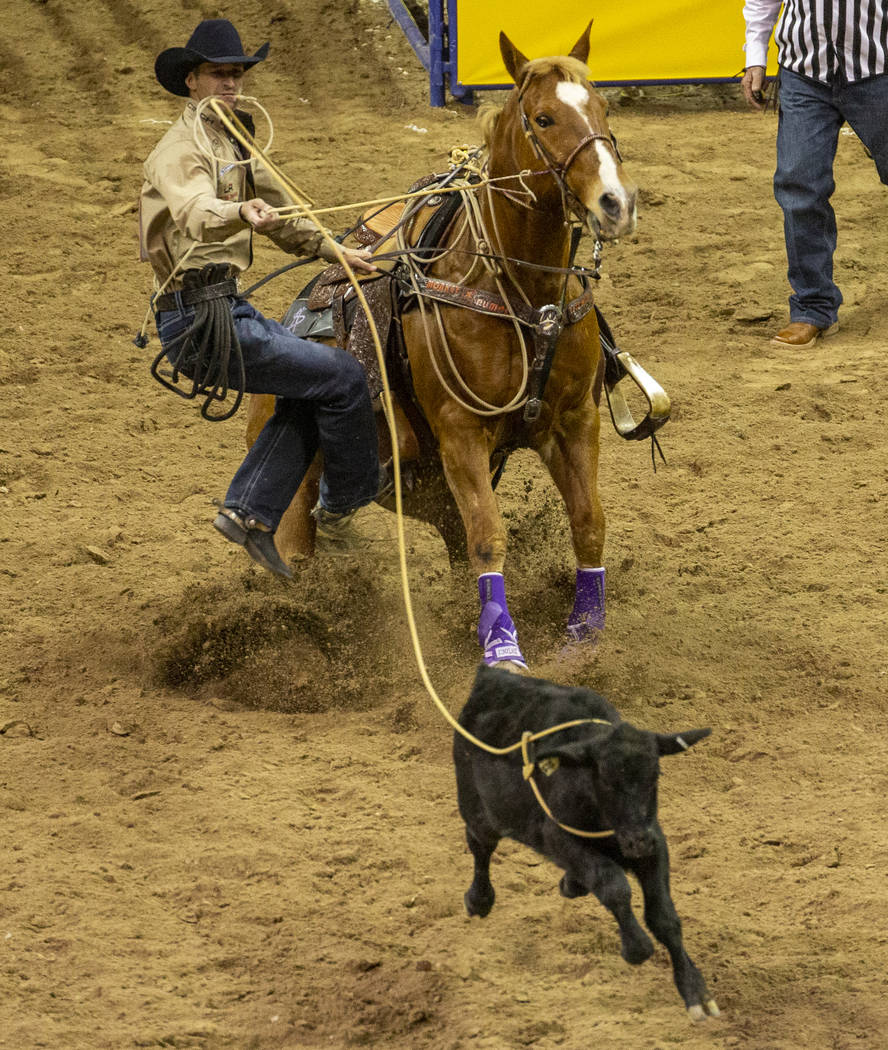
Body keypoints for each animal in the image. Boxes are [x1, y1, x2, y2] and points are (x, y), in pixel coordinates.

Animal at [245, 26, 638, 672]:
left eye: (604, 108)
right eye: (544, 118)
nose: (616, 202)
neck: (521, 295)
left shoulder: (574, 420)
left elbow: (588, 522)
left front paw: (585, 635)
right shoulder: (461, 431)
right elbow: (489, 537)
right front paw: (503, 650)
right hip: (300, 499)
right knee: (297, 561)